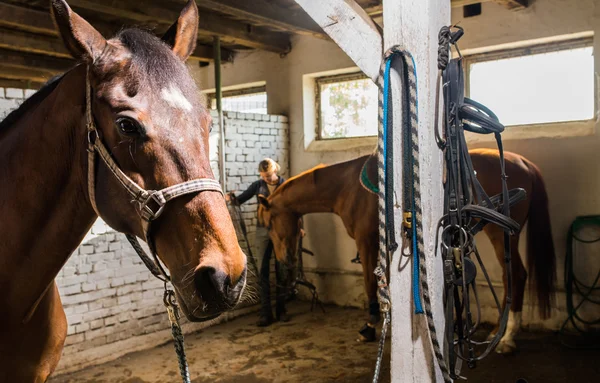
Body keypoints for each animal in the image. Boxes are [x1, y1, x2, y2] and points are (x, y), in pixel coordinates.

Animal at [255, 148, 556, 354]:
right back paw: (499, 332)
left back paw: (508, 337)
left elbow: (370, 283)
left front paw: (369, 327)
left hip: (500, 234)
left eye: (268, 223)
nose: (283, 259)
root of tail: (525, 163)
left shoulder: (366, 242)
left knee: (515, 275)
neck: (346, 187)